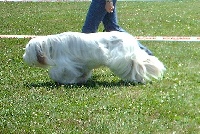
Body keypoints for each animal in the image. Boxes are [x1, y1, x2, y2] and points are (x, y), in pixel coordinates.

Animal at [23, 31, 166, 84]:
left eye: (27, 49)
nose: (23, 57)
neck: (51, 45)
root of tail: (130, 40)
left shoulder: (66, 65)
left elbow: (55, 72)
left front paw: (64, 81)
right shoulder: (81, 65)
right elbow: (82, 72)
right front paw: (80, 79)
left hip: (123, 60)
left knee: (137, 68)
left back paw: (137, 79)